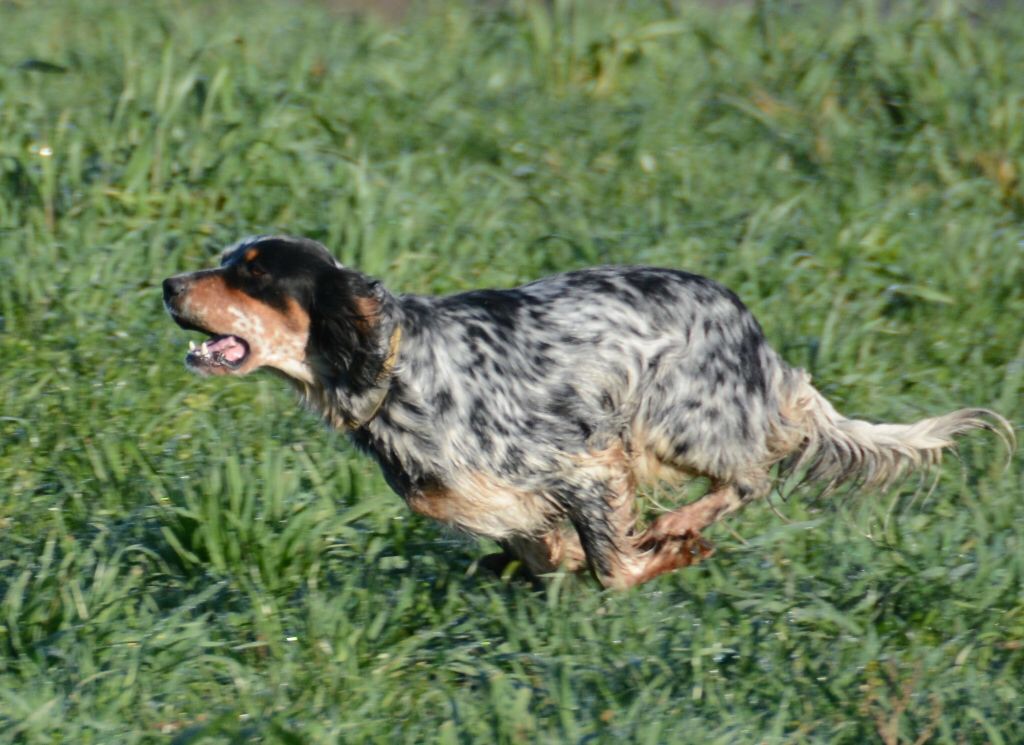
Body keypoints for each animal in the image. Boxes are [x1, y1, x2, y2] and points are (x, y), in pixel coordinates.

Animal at [163, 237, 1011, 589]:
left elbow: (612, 565)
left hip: (675, 415)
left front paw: (667, 551)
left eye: (254, 272)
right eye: (226, 259)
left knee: (751, 476)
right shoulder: (504, 498)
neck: (399, 368)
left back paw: (684, 522)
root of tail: (755, 333)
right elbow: (548, 549)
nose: (167, 284)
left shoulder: (584, 464)